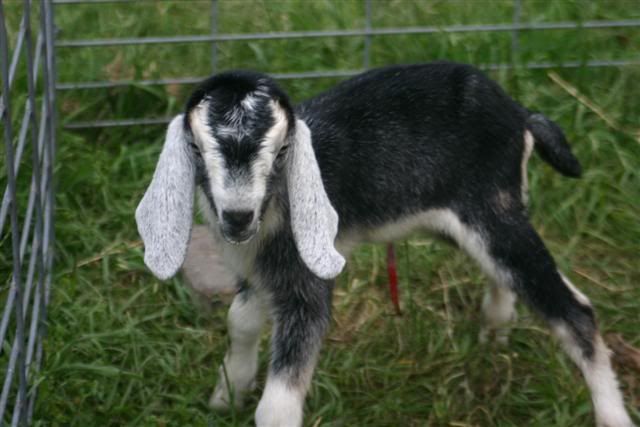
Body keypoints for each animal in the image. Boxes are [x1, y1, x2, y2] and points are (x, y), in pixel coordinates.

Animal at [135, 62, 634, 427]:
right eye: (196, 150)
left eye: (282, 152)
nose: (238, 217)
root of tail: (520, 113)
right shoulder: (259, 269)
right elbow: (239, 322)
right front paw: (226, 396)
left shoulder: (305, 282)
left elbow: (277, 405)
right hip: (481, 217)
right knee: (507, 273)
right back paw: (495, 328)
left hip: (490, 212)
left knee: (574, 309)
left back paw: (612, 415)